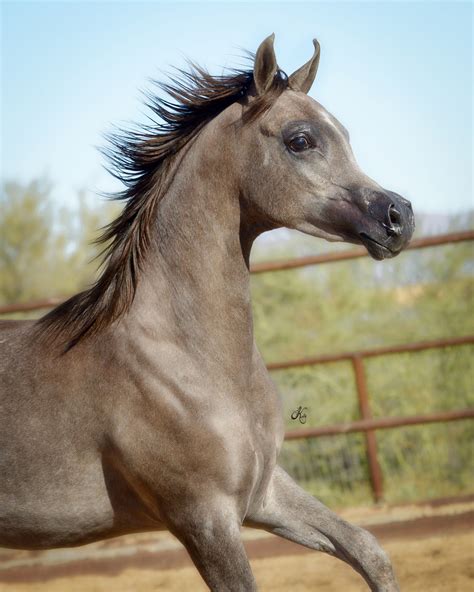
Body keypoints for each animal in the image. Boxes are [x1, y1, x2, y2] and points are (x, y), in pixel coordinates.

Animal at [0, 37, 412, 592]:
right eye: (300, 140)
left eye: (345, 135)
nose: (399, 217)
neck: (186, 358)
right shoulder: (204, 519)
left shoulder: (264, 493)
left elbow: (369, 550)